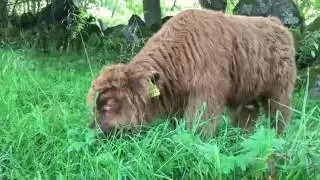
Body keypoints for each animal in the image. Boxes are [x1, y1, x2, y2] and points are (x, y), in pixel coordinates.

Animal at [86, 8, 296, 135]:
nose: (92, 131)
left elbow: (197, 128)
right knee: (248, 117)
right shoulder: (178, 101)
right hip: (248, 93)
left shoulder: (206, 97)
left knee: (280, 117)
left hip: (280, 91)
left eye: (108, 106)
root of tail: (276, 23)